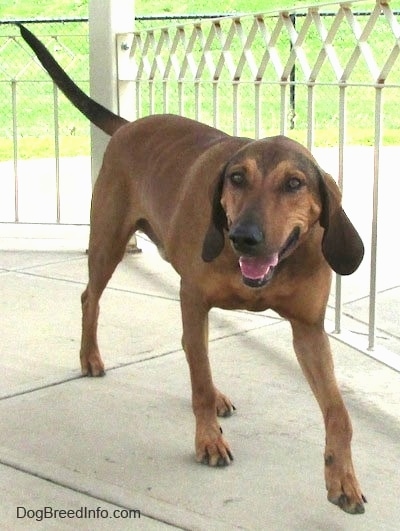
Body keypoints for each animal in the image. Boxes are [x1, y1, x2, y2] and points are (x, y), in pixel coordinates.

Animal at [21, 26, 366, 516]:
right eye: (237, 178)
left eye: (295, 184)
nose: (243, 237)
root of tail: (128, 125)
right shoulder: (195, 297)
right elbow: (198, 380)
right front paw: (208, 441)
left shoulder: (309, 330)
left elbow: (339, 412)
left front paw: (343, 479)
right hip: (108, 241)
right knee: (94, 298)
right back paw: (90, 357)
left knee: (190, 346)